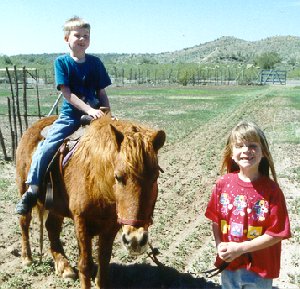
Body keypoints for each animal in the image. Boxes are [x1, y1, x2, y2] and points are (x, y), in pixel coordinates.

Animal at [15, 115, 166, 288]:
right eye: (118, 177)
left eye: (154, 178)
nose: (135, 240)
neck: (96, 180)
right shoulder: (81, 221)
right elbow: (85, 265)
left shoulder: (111, 226)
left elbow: (104, 262)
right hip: (24, 191)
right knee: (24, 222)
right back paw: (27, 258)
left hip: (55, 206)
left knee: (51, 227)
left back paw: (63, 266)